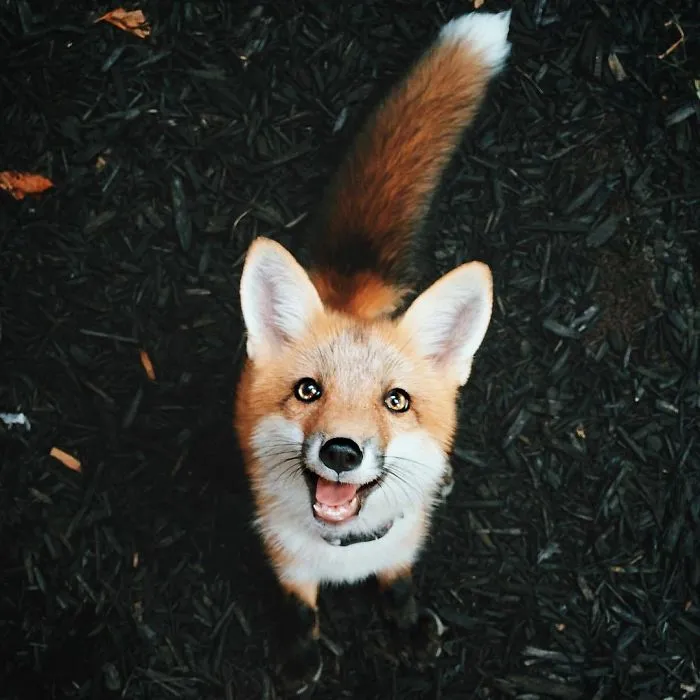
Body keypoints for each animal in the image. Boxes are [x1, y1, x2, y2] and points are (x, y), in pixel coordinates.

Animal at [234, 9, 512, 694]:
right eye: (308, 390)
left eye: (397, 401)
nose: (341, 451)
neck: (346, 550)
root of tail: (352, 283)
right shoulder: (283, 559)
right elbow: (296, 609)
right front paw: (298, 658)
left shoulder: (402, 547)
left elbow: (401, 587)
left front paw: (407, 629)